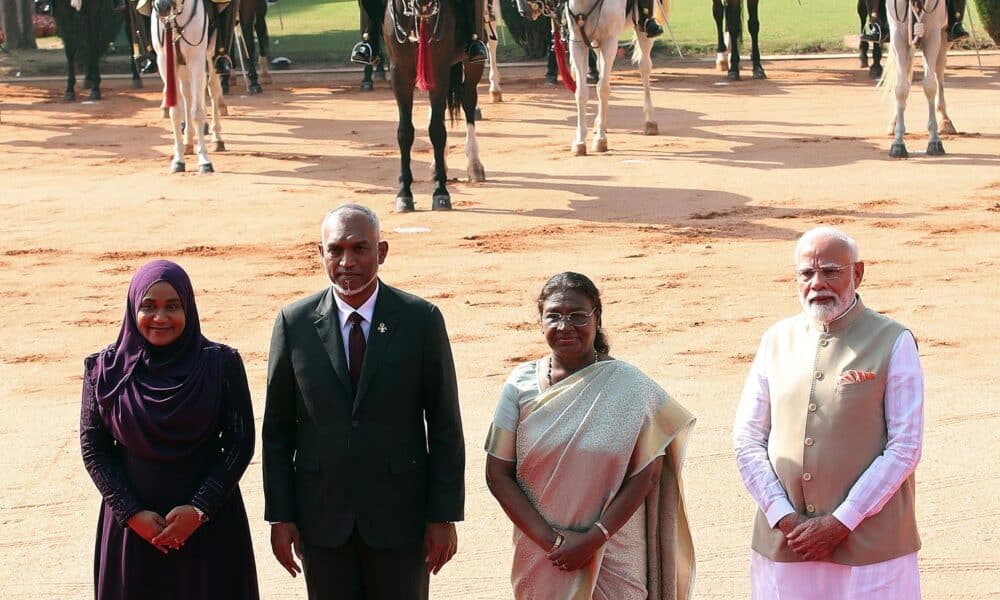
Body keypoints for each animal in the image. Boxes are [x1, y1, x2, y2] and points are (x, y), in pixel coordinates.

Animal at [151, 0, 226, 173]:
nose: (162, 7)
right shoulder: (165, 62)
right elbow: (175, 112)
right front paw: (178, 160)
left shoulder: (197, 59)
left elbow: (197, 112)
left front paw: (204, 161)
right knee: (187, 93)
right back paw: (188, 142)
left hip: (210, 54)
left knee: (213, 88)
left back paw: (217, 138)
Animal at [384, 0, 486, 213]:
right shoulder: (399, 74)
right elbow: (405, 133)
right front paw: (404, 194)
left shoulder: (439, 71)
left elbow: (437, 131)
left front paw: (441, 192)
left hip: (472, 63)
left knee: (468, 99)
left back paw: (474, 164)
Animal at [516, 0, 664, 156]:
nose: (524, 10)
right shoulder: (577, 43)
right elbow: (581, 92)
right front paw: (580, 141)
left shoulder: (609, 42)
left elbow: (603, 89)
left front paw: (600, 140)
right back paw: (599, 122)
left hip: (642, 32)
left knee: (644, 68)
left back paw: (650, 121)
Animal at [884, 0, 952, 158]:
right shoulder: (897, 35)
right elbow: (901, 88)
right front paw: (898, 142)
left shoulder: (933, 35)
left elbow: (930, 86)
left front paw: (934, 140)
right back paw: (894, 122)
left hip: (943, 36)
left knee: (939, 70)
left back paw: (945, 120)